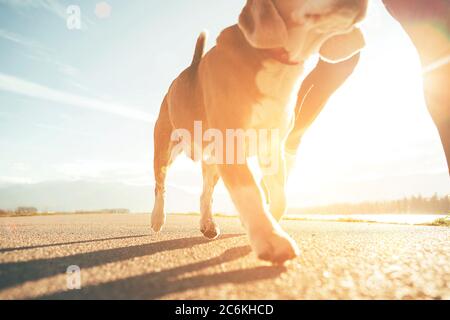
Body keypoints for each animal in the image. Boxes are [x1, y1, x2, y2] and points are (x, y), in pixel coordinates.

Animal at [153, 1, 368, 264]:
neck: (275, 60)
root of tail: (189, 69)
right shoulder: (231, 144)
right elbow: (251, 191)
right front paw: (270, 239)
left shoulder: (271, 147)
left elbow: (280, 197)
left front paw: (268, 224)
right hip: (164, 150)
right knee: (160, 186)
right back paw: (157, 218)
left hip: (213, 163)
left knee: (205, 193)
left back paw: (207, 223)